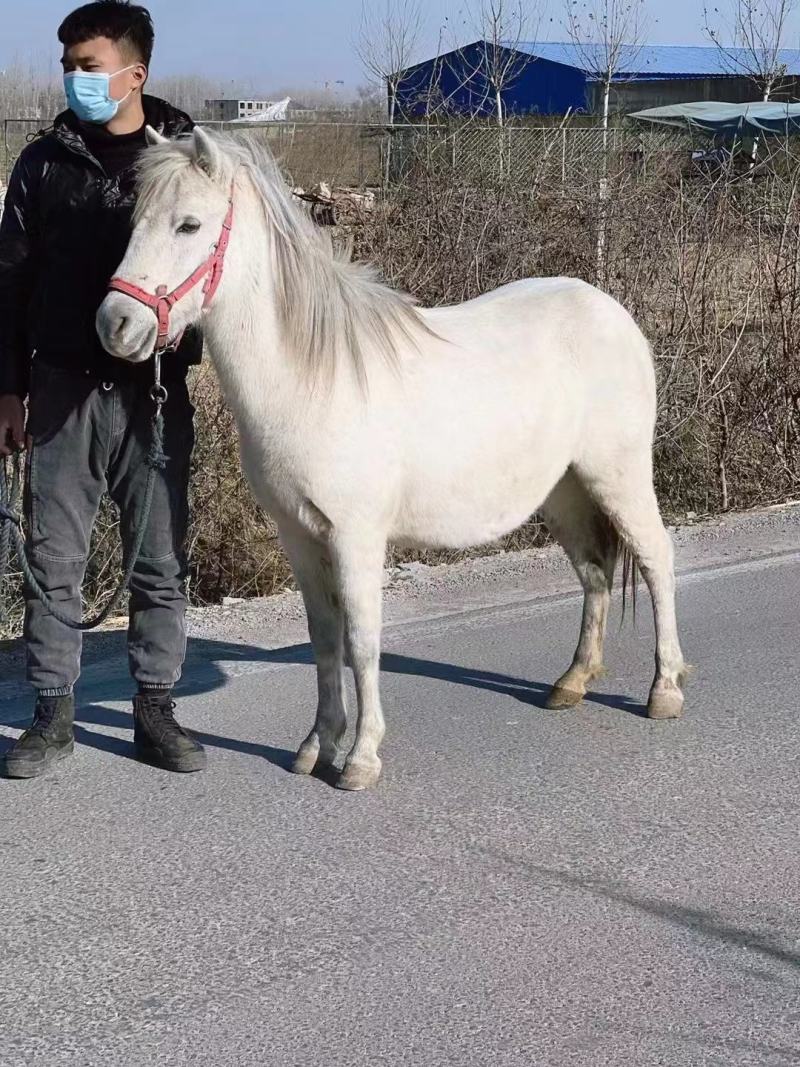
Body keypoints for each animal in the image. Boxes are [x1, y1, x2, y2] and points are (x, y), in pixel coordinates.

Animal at [97, 127, 688, 791]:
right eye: (136, 220)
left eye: (190, 225)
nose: (116, 324)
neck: (313, 375)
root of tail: (609, 309)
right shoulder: (299, 536)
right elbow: (325, 640)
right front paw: (316, 746)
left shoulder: (356, 536)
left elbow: (362, 641)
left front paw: (360, 757)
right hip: (563, 490)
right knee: (593, 573)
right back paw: (572, 682)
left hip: (619, 476)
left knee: (657, 559)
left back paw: (664, 691)